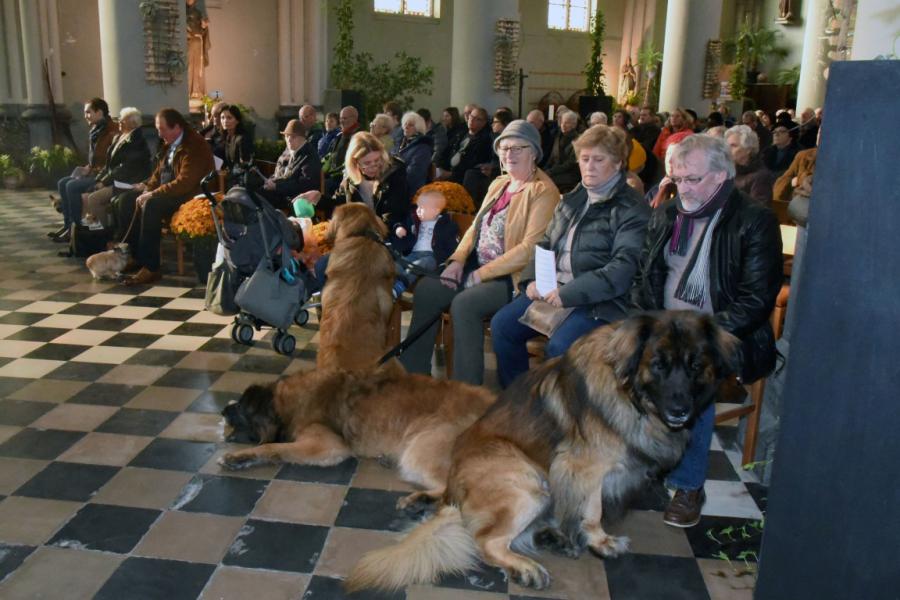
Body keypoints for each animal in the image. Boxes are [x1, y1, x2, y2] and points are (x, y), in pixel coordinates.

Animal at [221, 358, 496, 504]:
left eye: (241, 406)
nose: (223, 409)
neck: (287, 402)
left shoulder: (327, 445)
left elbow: (272, 446)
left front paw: (239, 456)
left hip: (420, 449)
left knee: (452, 491)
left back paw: (420, 500)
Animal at [346, 312, 740, 592]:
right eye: (657, 364)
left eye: (695, 365)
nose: (681, 410)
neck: (628, 391)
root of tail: (458, 495)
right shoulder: (582, 466)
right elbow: (592, 510)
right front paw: (601, 541)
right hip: (528, 483)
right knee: (486, 539)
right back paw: (527, 566)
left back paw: (552, 537)